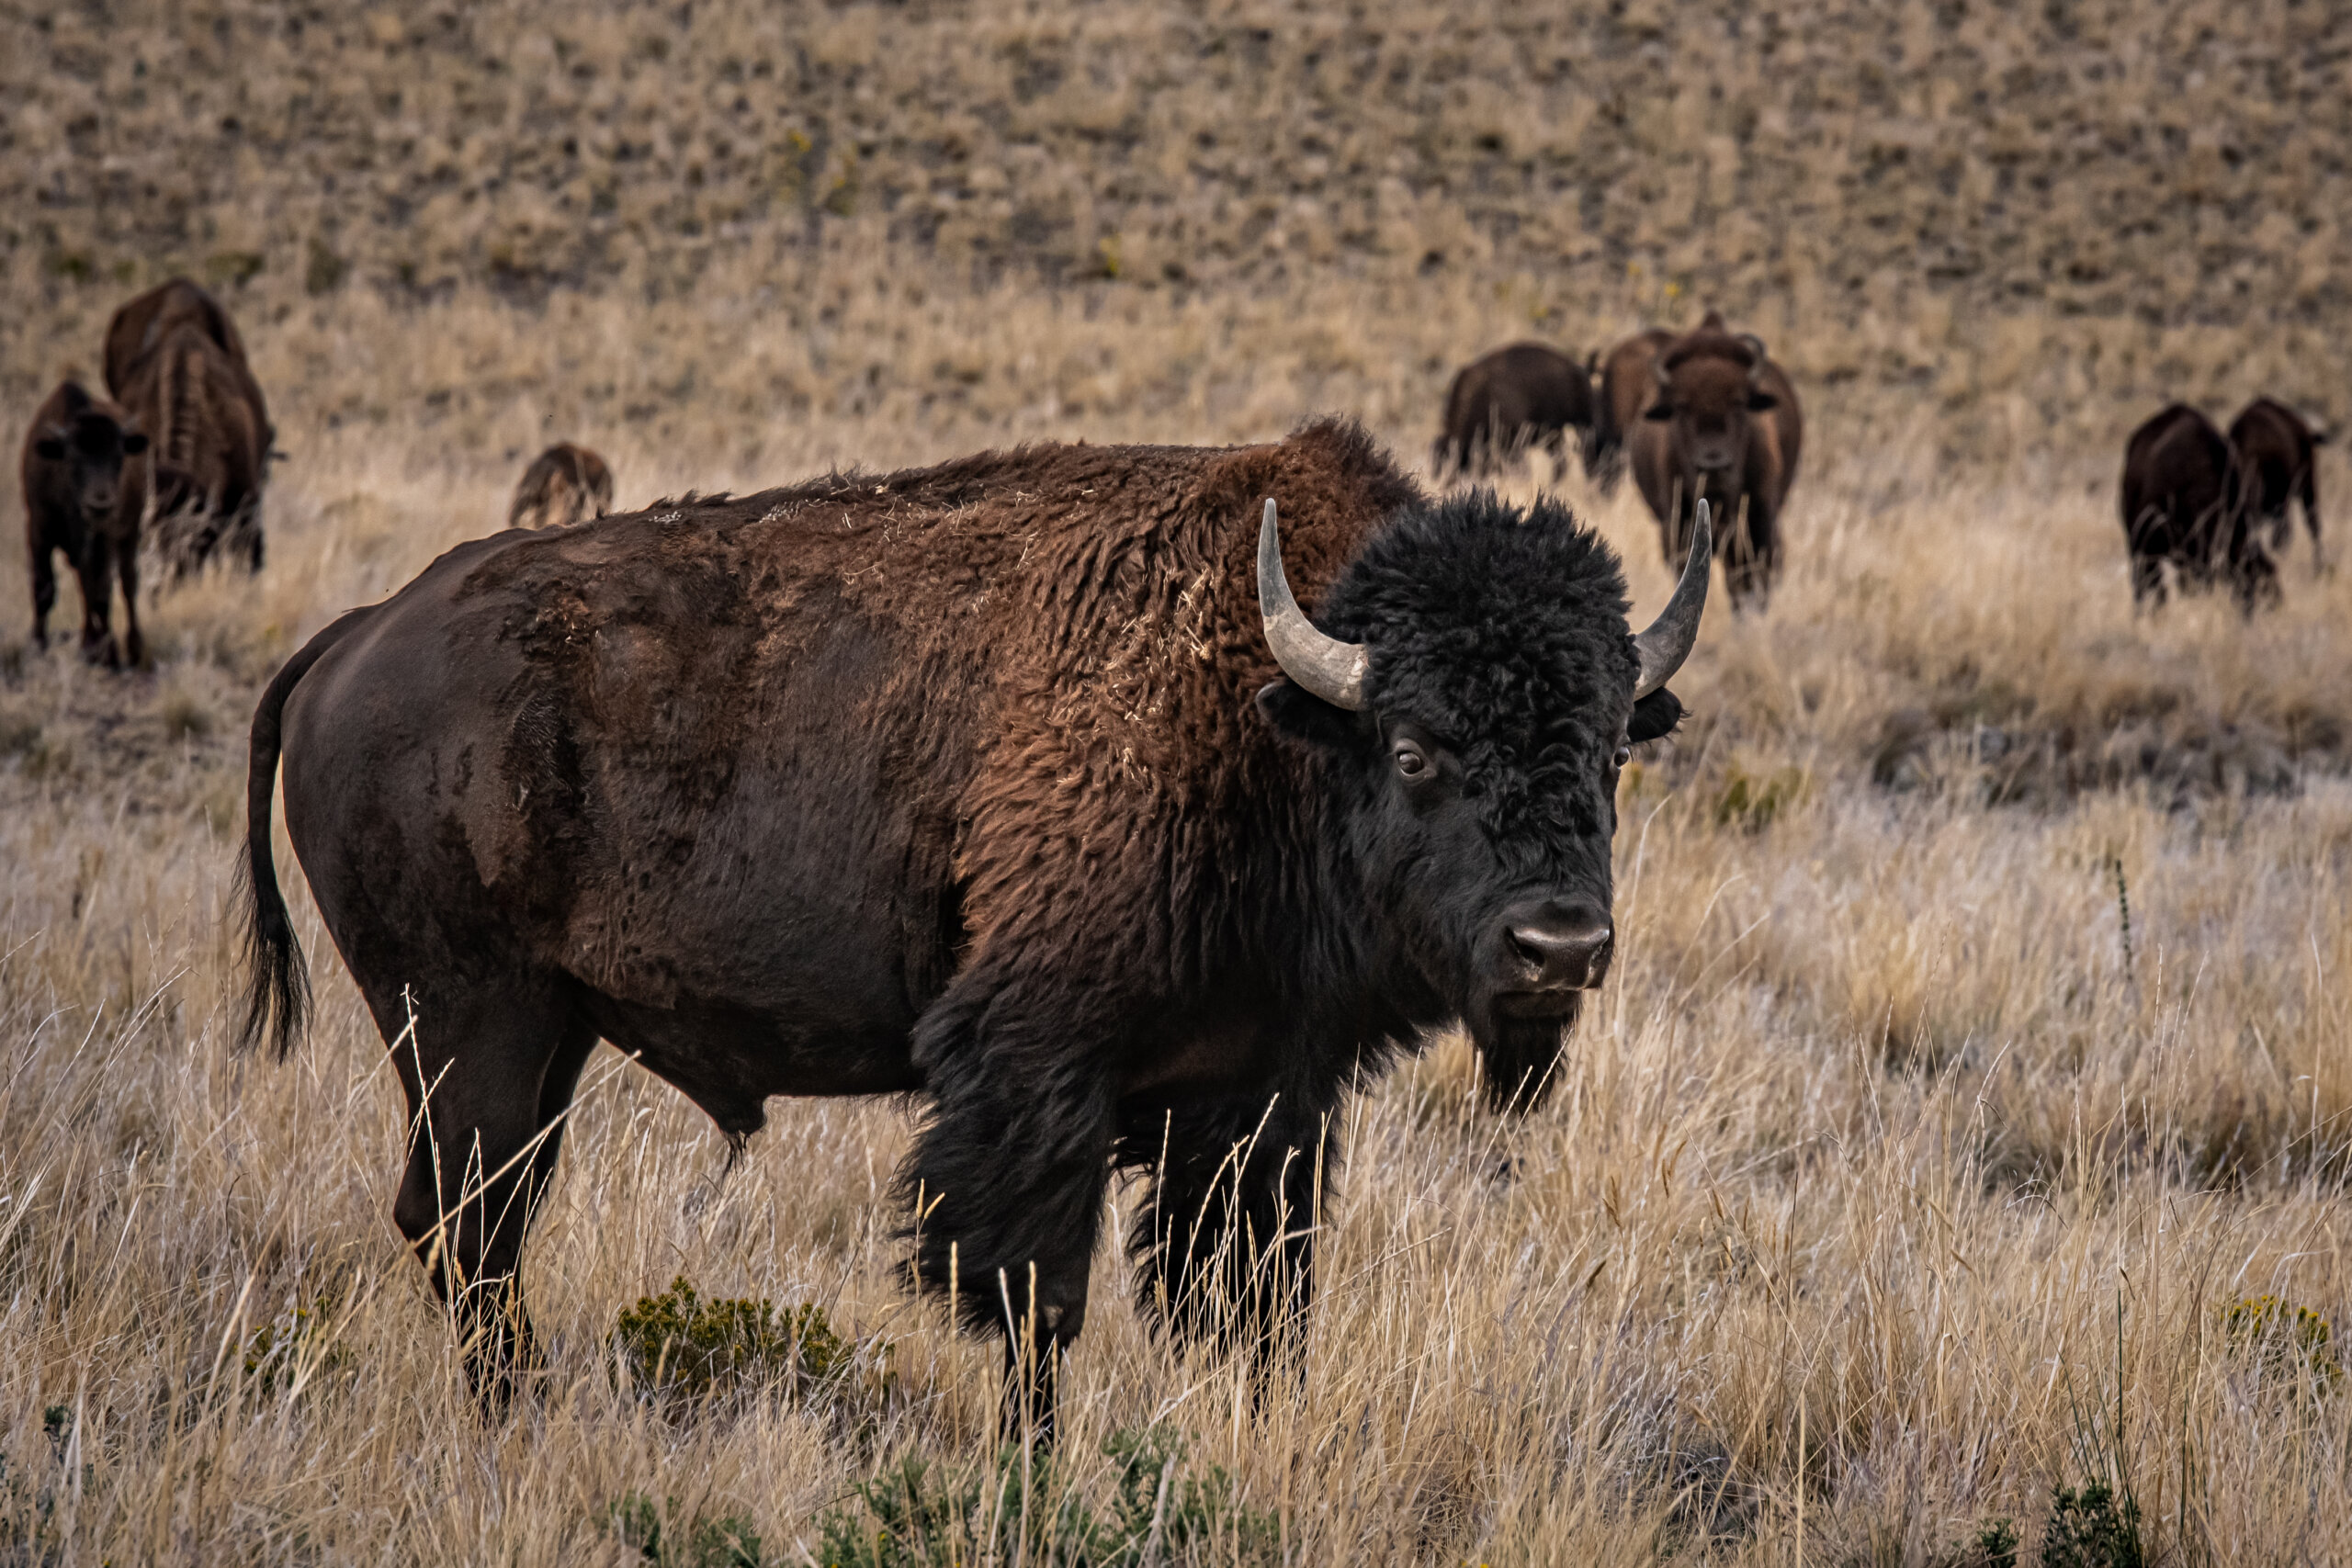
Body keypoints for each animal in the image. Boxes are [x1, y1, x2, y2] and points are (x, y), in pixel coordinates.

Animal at [21, 381, 152, 668]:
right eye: (72, 460)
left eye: (119, 456)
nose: (99, 505)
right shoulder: (38, 530)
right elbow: (44, 588)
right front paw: (37, 645)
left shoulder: (105, 537)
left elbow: (100, 590)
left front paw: (105, 652)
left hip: (129, 533)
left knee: (126, 583)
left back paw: (132, 648)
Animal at [238, 420, 1708, 1434]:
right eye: (1413, 750)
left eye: (1608, 753)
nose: (1558, 948)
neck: (1266, 710)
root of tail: (356, 637)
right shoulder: (1036, 1075)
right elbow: (1036, 1300)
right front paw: (1032, 1468)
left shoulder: (1259, 1097)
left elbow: (1248, 1301)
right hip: (466, 1024)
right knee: (462, 1224)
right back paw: (516, 1418)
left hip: (544, 1038)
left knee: (484, 1224)